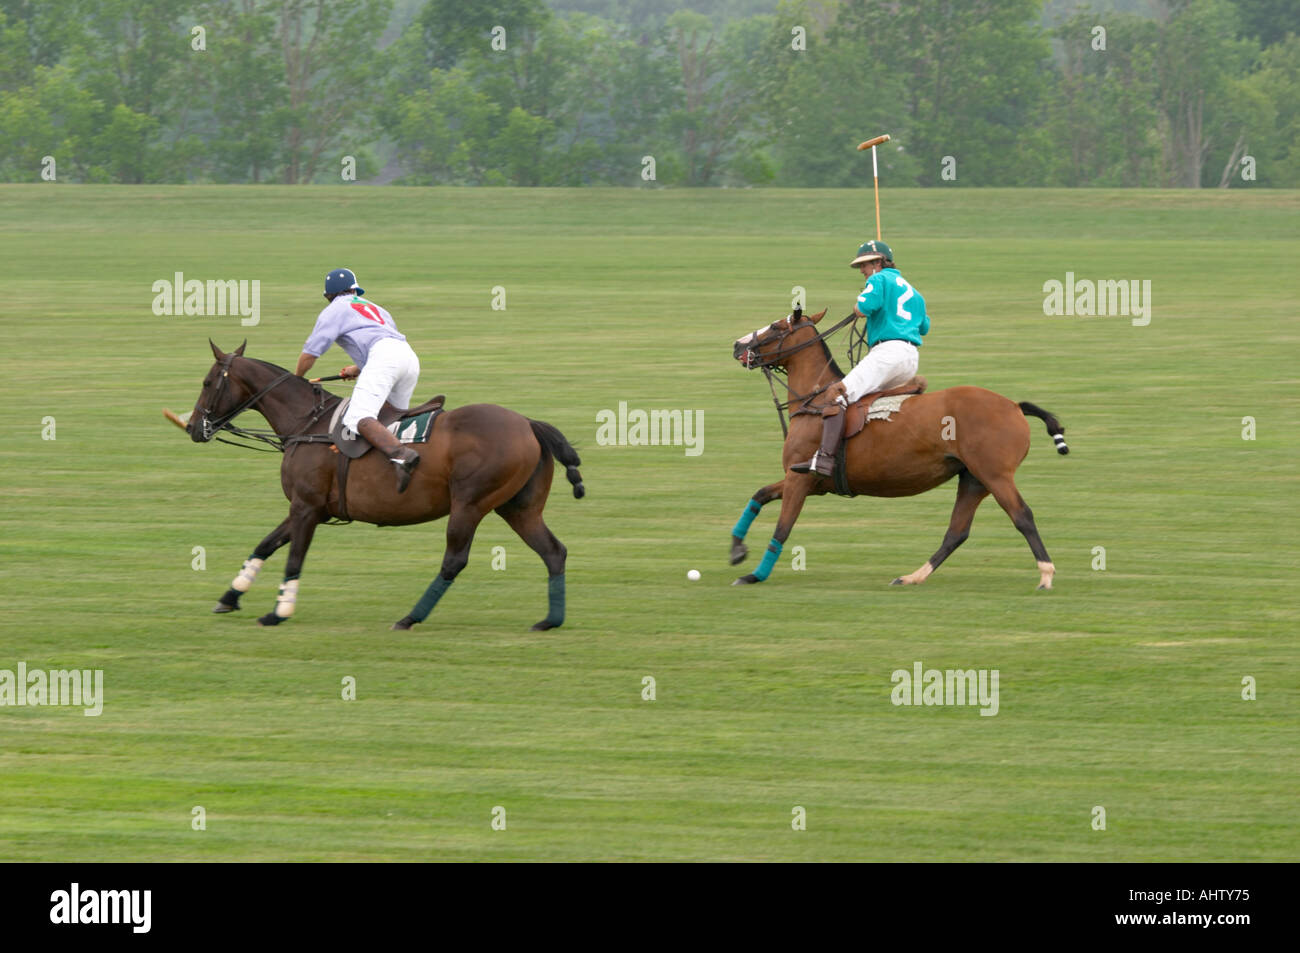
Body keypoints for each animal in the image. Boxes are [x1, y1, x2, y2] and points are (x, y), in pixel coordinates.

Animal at [187, 338, 585, 629]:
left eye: (207, 382)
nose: (193, 427)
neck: (307, 424)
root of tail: (528, 424)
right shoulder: (309, 507)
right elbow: (266, 544)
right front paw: (230, 597)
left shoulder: (306, 506)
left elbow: (293, 557)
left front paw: (278, 611)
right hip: (519, 507)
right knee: (554, 551)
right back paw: (550, 620)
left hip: (470, 505)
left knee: (454, 560)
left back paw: (410, 617)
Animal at [728, 308, 1071, 587]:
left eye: (776, 326)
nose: (737, 346)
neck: (814, 401)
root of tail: (1014, 406)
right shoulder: (809, 481)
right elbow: (759, 495)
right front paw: (736, 549)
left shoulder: (800, 479)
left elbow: (782, 529)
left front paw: (754, 575)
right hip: (973, 479)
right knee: (957, 531)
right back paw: (911, 577)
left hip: (995, 475)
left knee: (1022, 516)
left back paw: (1046, 575)